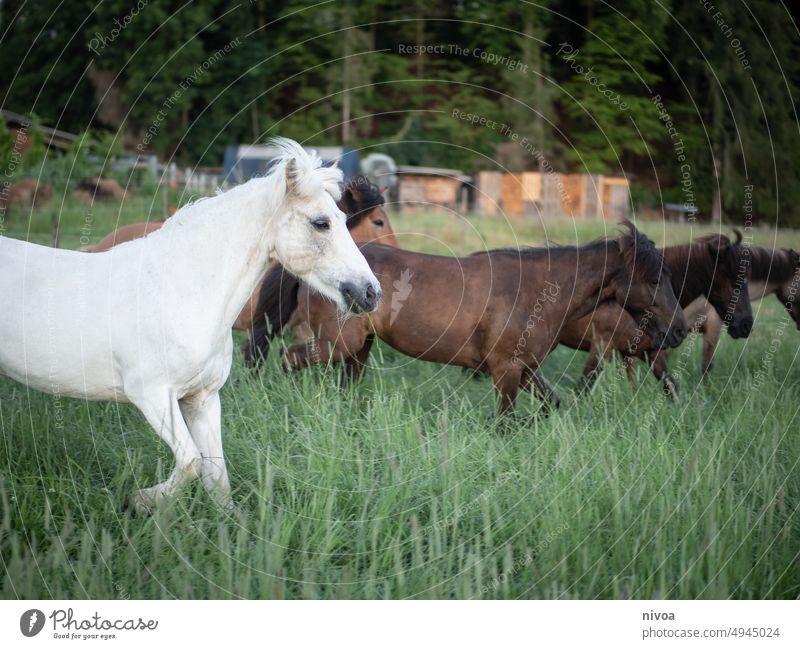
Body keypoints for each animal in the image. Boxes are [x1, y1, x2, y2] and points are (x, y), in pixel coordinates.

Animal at [252, 223, 688, 412]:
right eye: (654, 278)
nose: (680, 330)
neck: (538, 292)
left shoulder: (525, 369)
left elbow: (553, 403)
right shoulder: (507, 371)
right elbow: (505, 422)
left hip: (359, 349)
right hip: (336, 344)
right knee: (288, 360)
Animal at [560, 233, 752, 394]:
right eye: (734, 278)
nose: (746, 324)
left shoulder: (649, 353)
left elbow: (671, 388)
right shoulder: (601, 347)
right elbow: (581, 390)